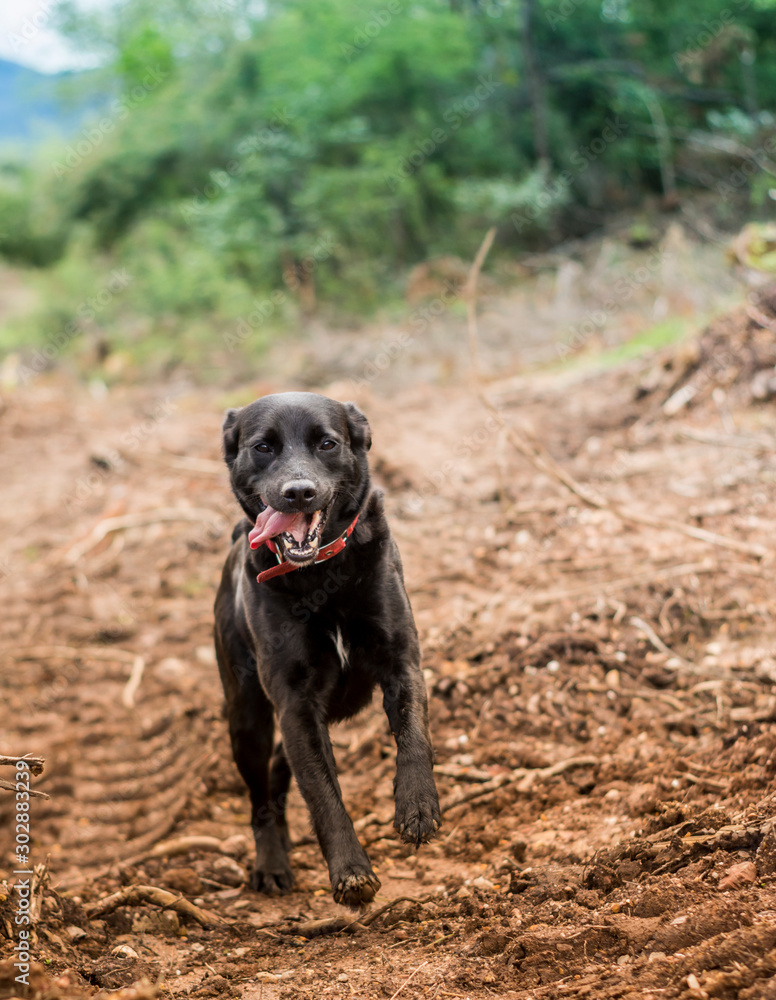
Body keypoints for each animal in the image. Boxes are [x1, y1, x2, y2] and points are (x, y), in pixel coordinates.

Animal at [215, 390, 440, 908]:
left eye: (327, 443)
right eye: (263, 447)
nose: (298, 492)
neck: (320, 575)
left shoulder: (402, 663)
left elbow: (414, 735)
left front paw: (418, 805)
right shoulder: (295, 703)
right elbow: (322, 794)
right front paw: (351, 872)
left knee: (280, 772)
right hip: (247, 720)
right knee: (261, 797)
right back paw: (272, 864)